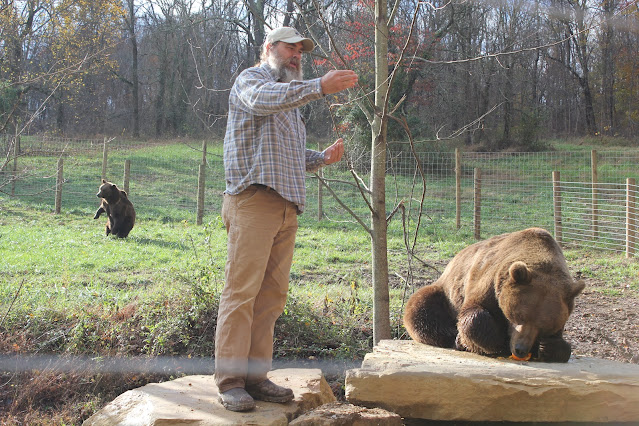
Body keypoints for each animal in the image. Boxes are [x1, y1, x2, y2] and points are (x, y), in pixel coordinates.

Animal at [404, 228, 584, 362]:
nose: (520, 349)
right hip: (443, 294)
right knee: (421, 309)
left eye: (543, 326)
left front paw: (547, 347)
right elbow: (474, 315)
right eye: (518, 316)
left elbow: (559, 343)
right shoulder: (489, 283)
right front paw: (493, 341)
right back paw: (453, 338)